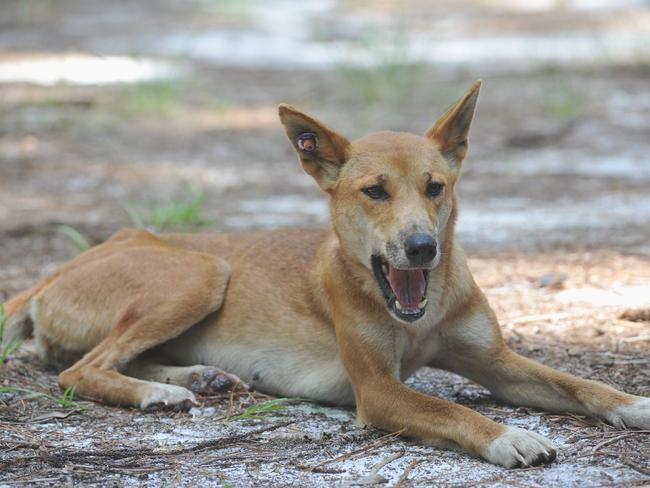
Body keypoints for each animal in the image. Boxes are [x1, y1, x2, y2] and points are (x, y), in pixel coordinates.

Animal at [2, 81, 644, 468]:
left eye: (435, 187)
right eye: (375, 191)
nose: (422, 247)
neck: (421, 312)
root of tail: (55, 270)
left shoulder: (496, 362)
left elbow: (577, 384)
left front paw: (636, 404)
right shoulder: (379, 390)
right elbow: (454, 411)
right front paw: (508, 435)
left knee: (114, 360)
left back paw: (195, 379)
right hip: (201, 273)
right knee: (80, 370)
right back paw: (157, 391)